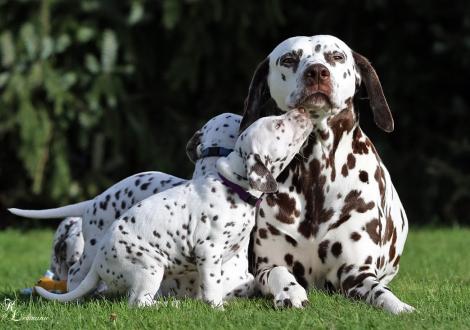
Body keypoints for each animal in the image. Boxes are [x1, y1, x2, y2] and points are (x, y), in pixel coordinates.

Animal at [241, 34, 414, 314]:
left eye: (337, 56)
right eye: (289, 59)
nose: (317, 72)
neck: (316, 172)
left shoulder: (357, 273)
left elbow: (379, 291)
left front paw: (397, 305)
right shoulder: (265, 266)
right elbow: (279, 273)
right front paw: (290, 293)